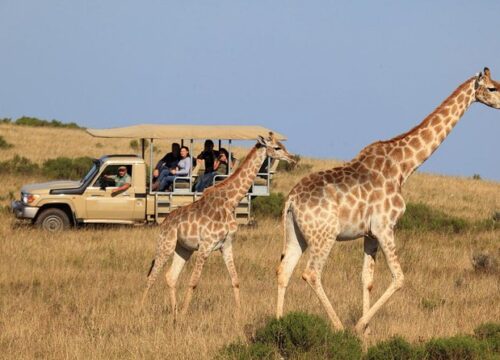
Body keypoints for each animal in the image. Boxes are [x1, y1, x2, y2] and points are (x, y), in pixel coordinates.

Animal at [141, 132, 294, 320]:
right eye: (277, 147)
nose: (292, 158)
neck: (231, 202)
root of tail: (163, 223)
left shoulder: (226, 244)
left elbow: (235, 280)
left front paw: (239, 314)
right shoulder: (206, 245)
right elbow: (193, 282)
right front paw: (184, 314)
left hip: (183, 249)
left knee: (171, 276)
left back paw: (174, 313)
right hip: (166, 245)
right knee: (151, 276)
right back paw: (139, 310)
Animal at [276, 68, 498, 338]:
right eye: (492, 87)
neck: (404, 165)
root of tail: (291, 200)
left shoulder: (370, 233)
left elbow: (367, 279)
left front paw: (367, 333)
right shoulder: (385, 227)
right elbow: (399, 278)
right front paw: (359, 326)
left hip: (295, 233)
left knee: (283, 270)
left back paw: (276, 324)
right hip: (323, 235)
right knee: (311, 273)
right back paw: (338, 326)